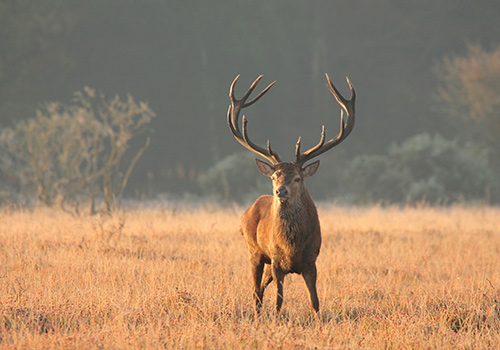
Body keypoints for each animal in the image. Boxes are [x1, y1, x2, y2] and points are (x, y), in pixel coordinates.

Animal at [227, 72, 356, 314]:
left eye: (298, 178)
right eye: (274, 176)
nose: (280, 191)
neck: (292, 248)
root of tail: (247, 211)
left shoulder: (312, 260)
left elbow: (315, 301)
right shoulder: (277, 261)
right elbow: (279, 301)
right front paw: (276, 319)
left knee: (260, 289)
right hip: (253, 251)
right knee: (255, 290)